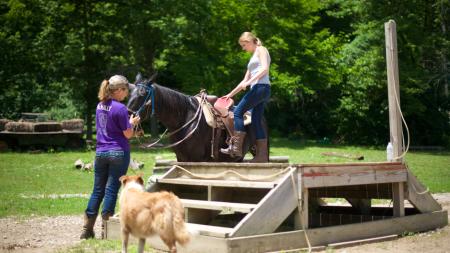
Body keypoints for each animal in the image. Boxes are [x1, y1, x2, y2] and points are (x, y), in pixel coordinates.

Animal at [125, 74, 264, 162]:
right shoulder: (181, 159)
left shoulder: (197, 159)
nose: (128, 116)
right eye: (130, 93)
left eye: (143, 94)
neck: (183, 120)